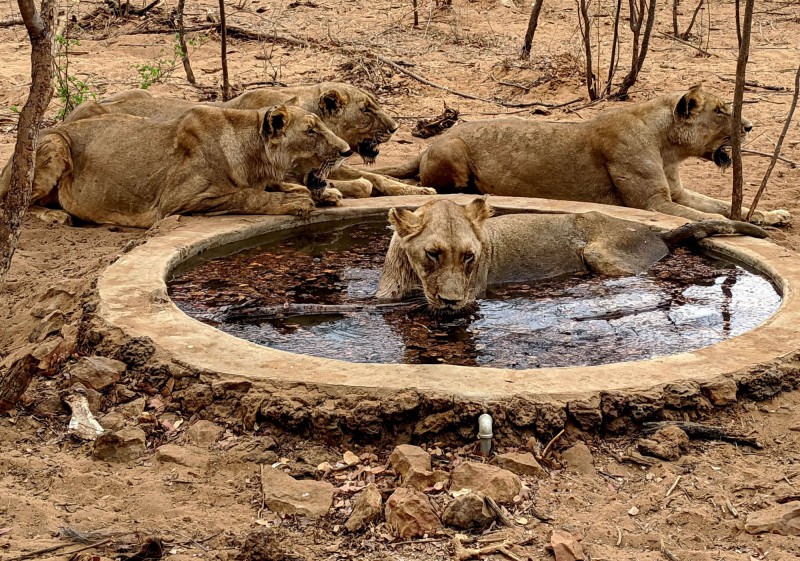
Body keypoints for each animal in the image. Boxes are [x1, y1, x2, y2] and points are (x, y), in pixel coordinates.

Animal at [0, 104, 350, 226]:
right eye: (310, 131)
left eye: (320, 125)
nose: (347, 150)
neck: (254, 156)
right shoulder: (179, 200)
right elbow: (247, 195)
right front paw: (295, 201)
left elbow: (277, 185)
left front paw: (327, 193)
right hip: (54, 143)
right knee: (12, 205)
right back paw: (54, 215)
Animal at [372, 85, 792, 225]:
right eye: (721, 111)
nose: (749, 126)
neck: (668, 146)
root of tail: (427, 145)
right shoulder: (653, 202)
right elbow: (704, 216)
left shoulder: (677, 192)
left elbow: (720, 205)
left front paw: (772, 215)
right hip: (454, 154)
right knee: (440, 186)